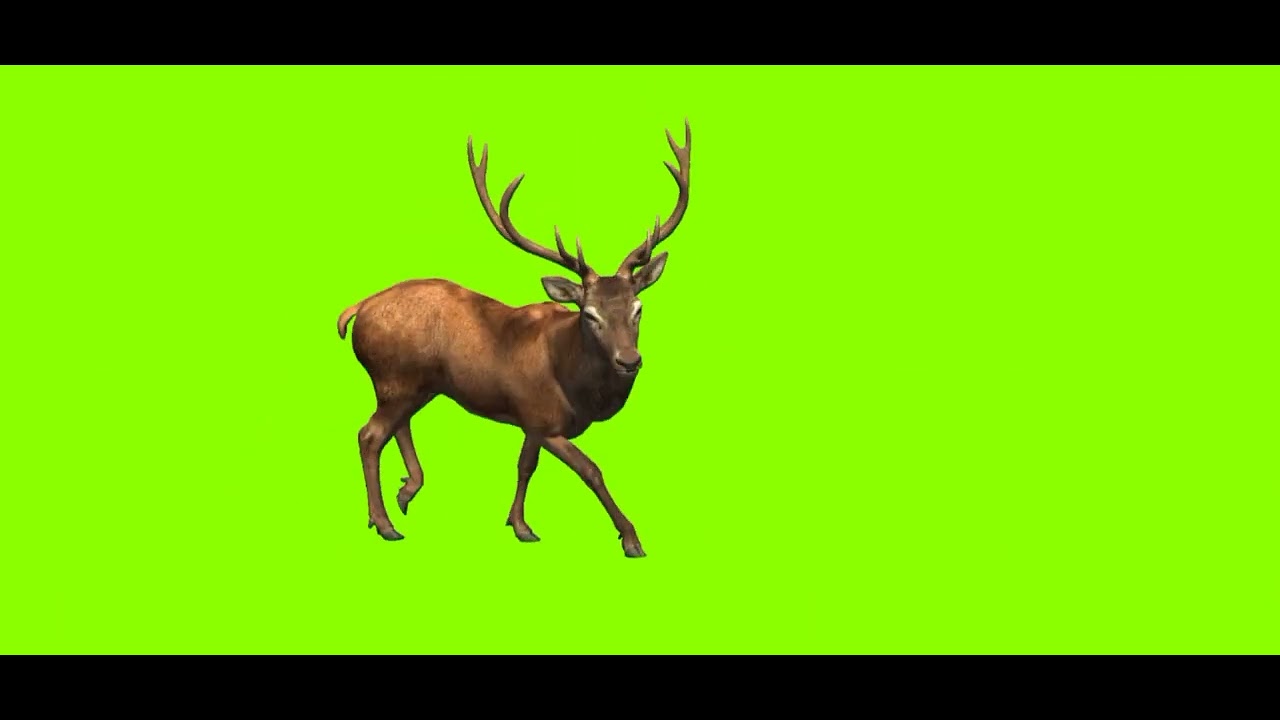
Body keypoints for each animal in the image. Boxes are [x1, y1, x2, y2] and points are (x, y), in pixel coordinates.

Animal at [335, 120, 691, 558]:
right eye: (589, 314)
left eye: (638, 308)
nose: (629, 359)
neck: (577, 386)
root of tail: (358, 307)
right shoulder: (542, 416)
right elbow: (590, 470)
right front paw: (631, 538)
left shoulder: (530, 422)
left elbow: (525, 466)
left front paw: (519, 525)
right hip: (394, 378)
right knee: (369, 435)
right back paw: (384, 523)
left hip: (416, 385)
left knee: (397, 426)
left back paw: (406, 492)